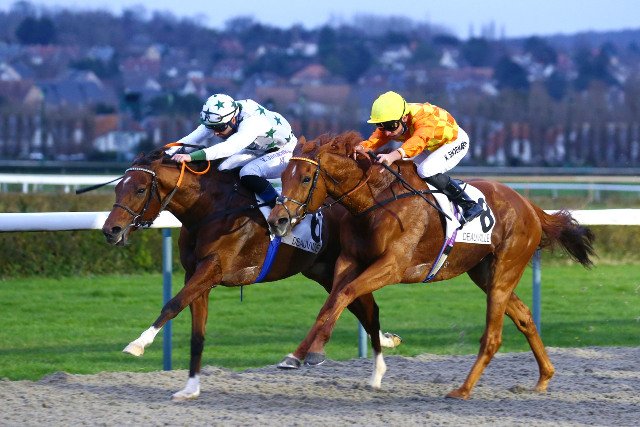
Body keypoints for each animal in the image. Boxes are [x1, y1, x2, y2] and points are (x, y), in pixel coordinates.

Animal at [101, 146, 401, 401]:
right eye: (117, 187)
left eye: (140, 189)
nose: (110, 230)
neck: (211, 209)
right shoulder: (197, 276)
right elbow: (197, 334)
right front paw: (190, 388)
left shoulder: (213, 268)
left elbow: (173, 304)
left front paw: (138, 343)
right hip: (325, 272)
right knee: (360, 306)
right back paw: (384, 346)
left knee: (365, 308)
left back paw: (377, 364)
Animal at [267, 131, 595, 399]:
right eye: (283, 177)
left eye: (306, 178)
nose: (277, 220)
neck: (374, 201)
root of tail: (529, 206)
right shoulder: (349, 261)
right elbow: (331, 303)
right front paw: (296, 355)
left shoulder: (393, 266)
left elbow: (346, 295)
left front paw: (316, 351)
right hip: (483, 272)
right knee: (525, 316)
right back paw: (543, 378)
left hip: (506, 268)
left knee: (493, 336)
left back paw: (463, 390)